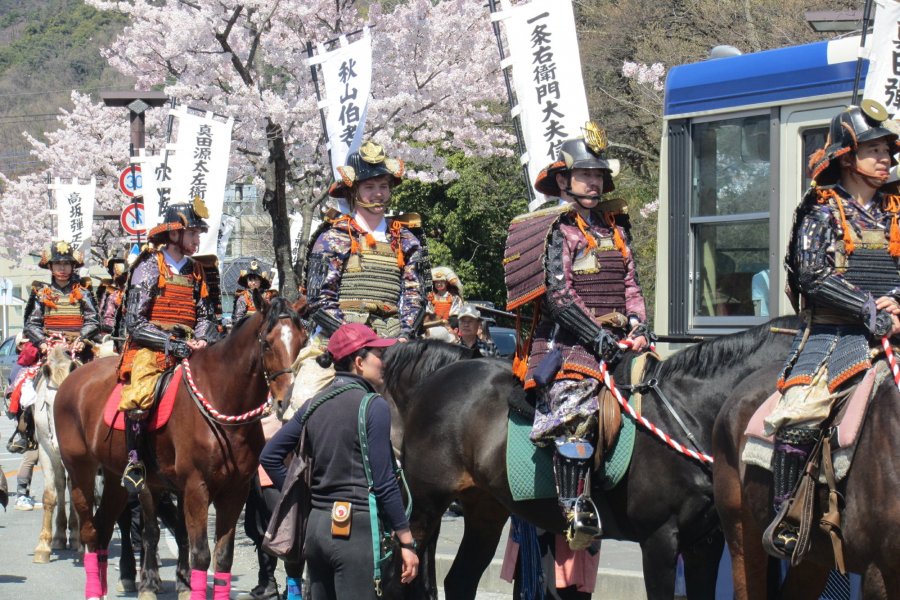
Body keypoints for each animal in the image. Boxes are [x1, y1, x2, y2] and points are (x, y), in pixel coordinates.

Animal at [53, 298, 306, 596]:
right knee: (92, 531)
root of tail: (72, 378)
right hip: (80, 469)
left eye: (302, 341)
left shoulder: (235, 491)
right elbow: (200, 554)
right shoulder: (196, 487)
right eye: (267, 343)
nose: (286, 401)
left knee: (105, 528)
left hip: (117, 478)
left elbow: (222, 556)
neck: (221, 400)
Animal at [384, 316, 800, 596]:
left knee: (459, 580)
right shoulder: (660, 540)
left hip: (485, 509)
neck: (691, 411)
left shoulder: (705, 545)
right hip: (423, 507)